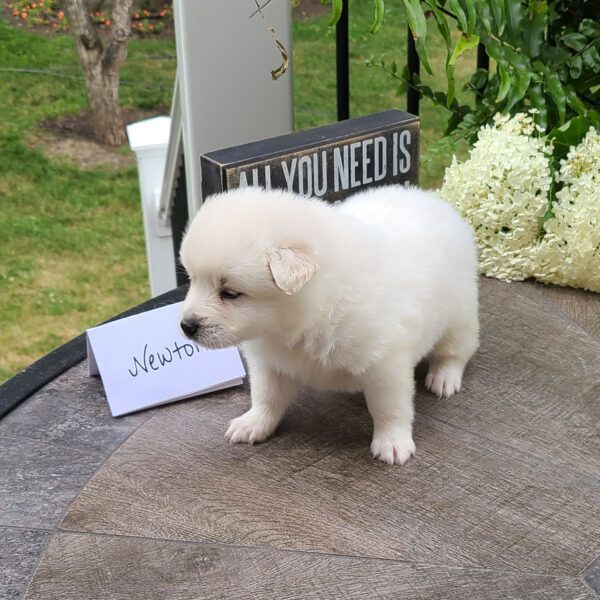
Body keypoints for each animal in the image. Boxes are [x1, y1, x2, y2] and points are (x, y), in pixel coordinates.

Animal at [178, 185, 478, 466]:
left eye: (230, 293)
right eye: (192, 280)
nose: (185, 326)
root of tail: (433, 200)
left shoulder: (385, 363)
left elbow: (389, 407)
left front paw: (392, 443)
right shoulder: (269, 362)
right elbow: (265, 395)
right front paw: (253, 423)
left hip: (459, 313)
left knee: (456, 351)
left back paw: (444, 378)